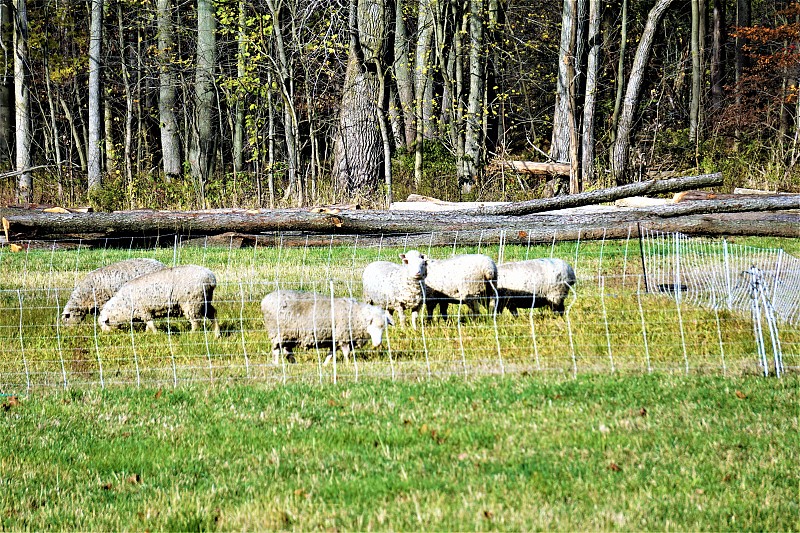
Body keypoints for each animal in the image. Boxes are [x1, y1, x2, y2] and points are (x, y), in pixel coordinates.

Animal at [262, 288, 394, 364]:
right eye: (373, 325)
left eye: (383, 327)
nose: (378, 344)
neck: (357, 315)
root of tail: (264, 300)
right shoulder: (344, 336)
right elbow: (346, 353)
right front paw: (348, 364)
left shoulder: (336, 338)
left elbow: (332, 353)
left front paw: (325, 364)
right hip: (277, 332)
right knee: (276, 350)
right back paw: (276, 365)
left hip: (288, 334)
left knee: (286, 350)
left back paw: (293, 363)